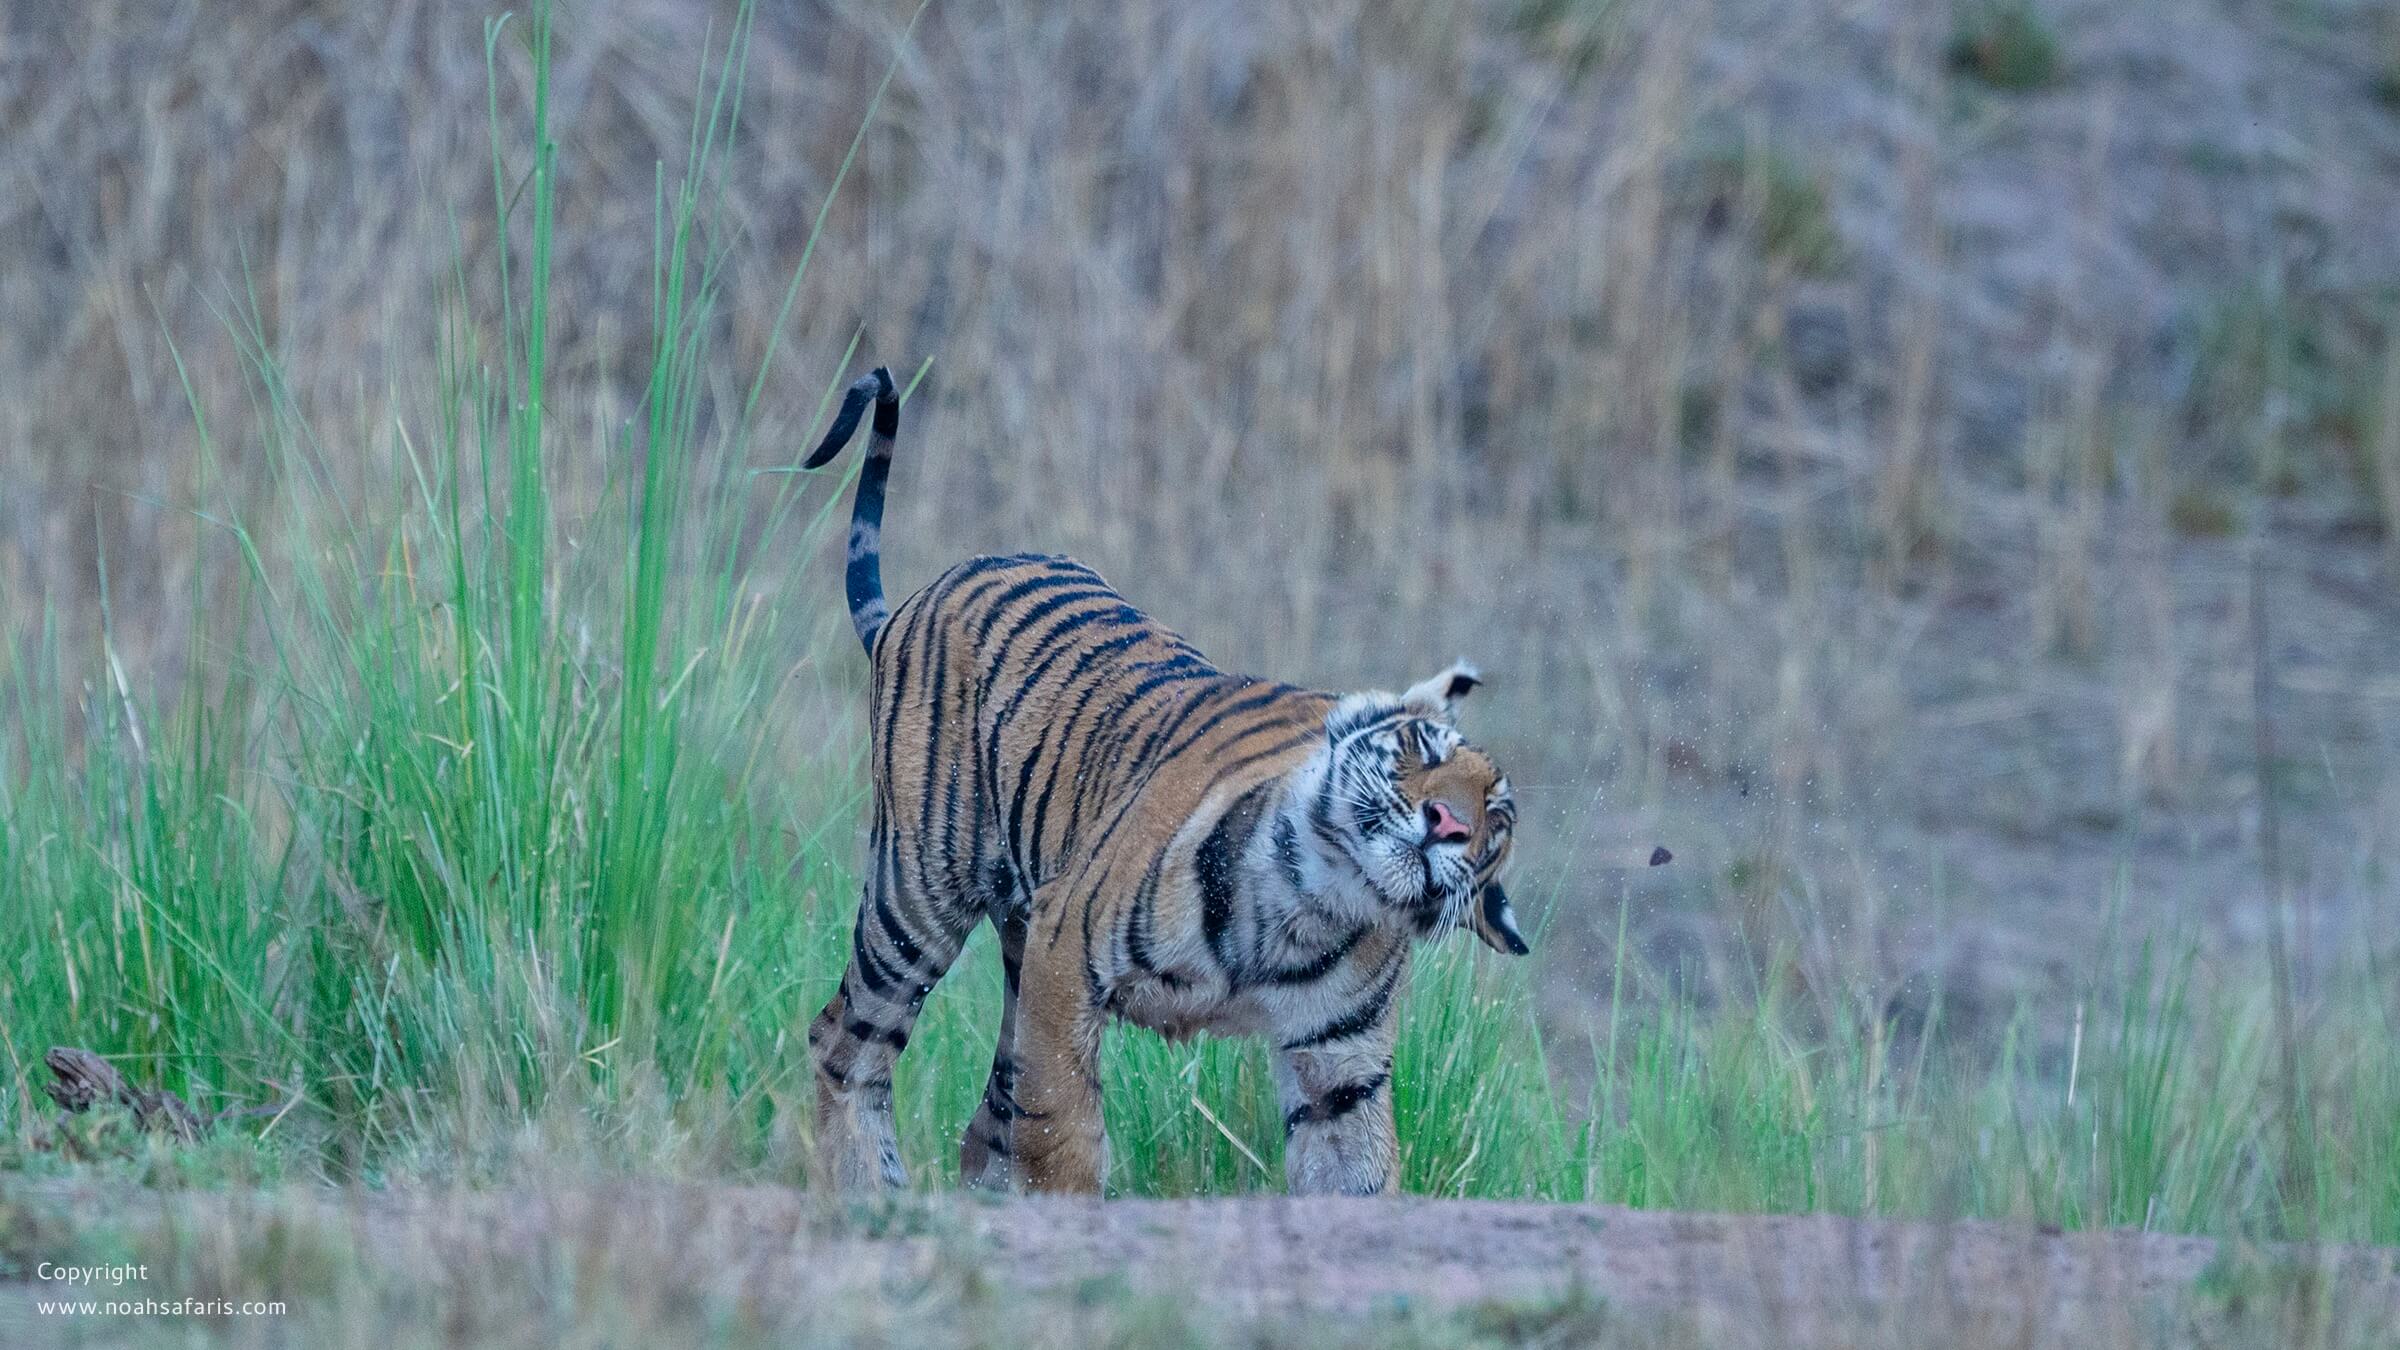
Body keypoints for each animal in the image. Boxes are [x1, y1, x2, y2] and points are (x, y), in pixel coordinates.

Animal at [800, 367, 1522, 1197]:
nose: (1448, 823)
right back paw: (868, 1188)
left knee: (984, 1117)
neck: (1314, 910)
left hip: (1010, 936)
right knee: (845, 1042)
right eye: (1422, 746)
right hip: (917, 895)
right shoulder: (1064, 956)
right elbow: (1060, 1125)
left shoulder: (1342, 1065)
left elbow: (1355, 1177)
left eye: (1497, 819)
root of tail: (940, 584)